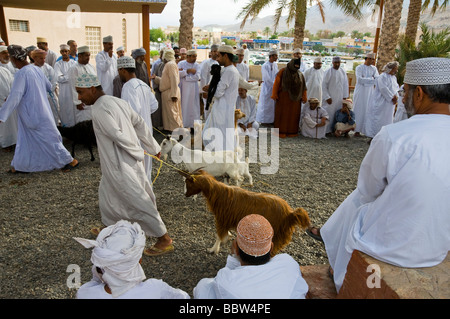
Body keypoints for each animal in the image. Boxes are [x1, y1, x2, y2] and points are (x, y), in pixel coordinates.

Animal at [178, 169, 312, 256]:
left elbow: (219, 236)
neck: (219, 194)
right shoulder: (227, 219)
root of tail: (290, 214)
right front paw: (228, 236)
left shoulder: (221, 219)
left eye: (188, 183)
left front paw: (213, 249)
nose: (185, 195)